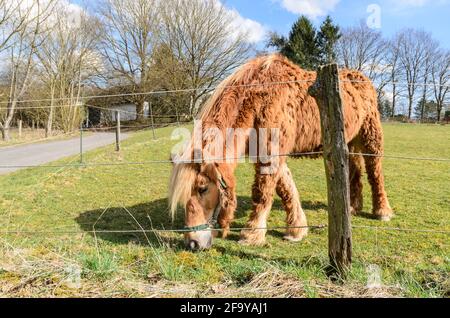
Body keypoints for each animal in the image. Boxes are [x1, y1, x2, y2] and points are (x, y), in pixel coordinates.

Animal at [167, 52, 392, 251]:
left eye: (203, 188)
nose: (193, 243)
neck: (258, 96)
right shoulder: (271, 153)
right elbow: (286, 188)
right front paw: (296, 229)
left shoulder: (271, 153)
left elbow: (263, 191)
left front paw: (252, 233)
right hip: (350, 141)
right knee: (355, 171)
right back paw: (353, 206)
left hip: (371, 135)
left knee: (375, 172)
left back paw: (382, 211)